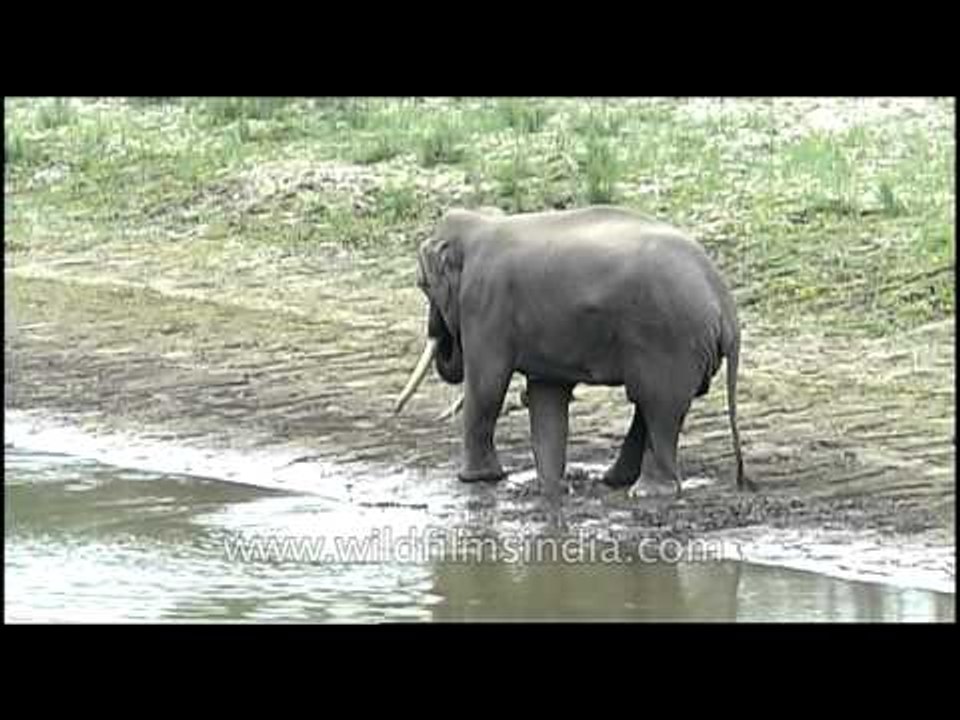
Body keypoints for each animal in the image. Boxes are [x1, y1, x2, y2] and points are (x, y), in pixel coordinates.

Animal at [394, 205, 753, 498]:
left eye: (422, 285)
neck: (480, 224)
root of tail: (725, 304)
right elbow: (546, 394)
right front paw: (551, 488)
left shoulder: (484, 304)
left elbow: (487, 386)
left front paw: (475, 479)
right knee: (651, 406)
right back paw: (616, 481)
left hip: (669, 339)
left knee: (658, 405)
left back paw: (647, 491)